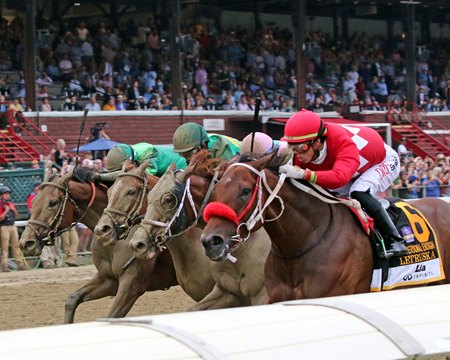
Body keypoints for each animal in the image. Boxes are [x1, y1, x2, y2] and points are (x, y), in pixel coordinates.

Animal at [19, 169, 178, 324]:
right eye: (34, 201)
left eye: (52, 202)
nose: (26, 243)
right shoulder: (109, 280)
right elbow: (72, 300)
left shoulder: (132, 286)